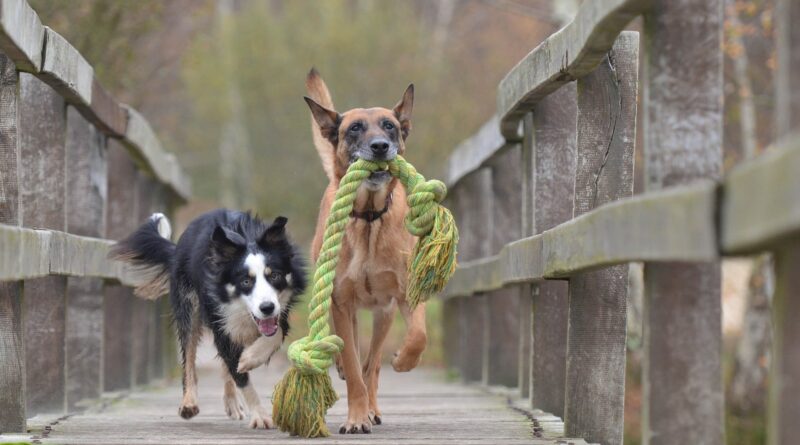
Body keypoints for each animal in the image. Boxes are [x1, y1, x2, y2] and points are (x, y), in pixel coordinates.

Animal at [114, 210, 308, 428]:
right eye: (246, 281)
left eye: (274, 276)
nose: (266, 308)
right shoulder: (220, 320)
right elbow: (240, 376)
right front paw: (259, 415)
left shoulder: (280, 311)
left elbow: (275, 333)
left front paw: (250, 358)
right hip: (188, 305)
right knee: (189, 357)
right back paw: (189, 403)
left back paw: (232, 401)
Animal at [302, 69, 424, 434]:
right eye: (355, 128)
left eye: (389, 126)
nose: (380, 146)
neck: (369, 218)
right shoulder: (341, 302)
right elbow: (355, 370)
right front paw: (356, 418)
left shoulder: (405, 294)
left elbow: (417, 335)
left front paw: (404, 360)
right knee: (356, 356)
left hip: (384, 314)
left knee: (373, 364)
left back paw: (374, 405)